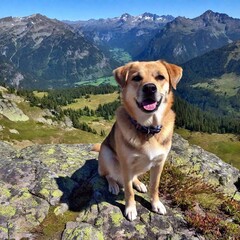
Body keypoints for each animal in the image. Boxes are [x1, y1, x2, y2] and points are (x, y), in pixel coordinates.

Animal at [95, 60, 182, 221]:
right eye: (136, 78)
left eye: (160, 77)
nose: (149, 88)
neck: (147, 129)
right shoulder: (126, 164)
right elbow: (129, 191)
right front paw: (130, 209)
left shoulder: (159, 164)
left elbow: (155, 186)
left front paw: (156, 204)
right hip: (106, 154)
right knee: (109, 175)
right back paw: (113, 185)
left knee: (132, 177)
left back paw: (139, 183)